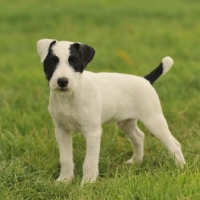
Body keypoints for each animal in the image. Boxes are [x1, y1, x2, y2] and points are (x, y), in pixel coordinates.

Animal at [36, 39, 185, 184]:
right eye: (52, 62)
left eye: (75, 62)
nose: (62, 82)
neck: (70, 96)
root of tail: (145, 80)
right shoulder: (61, 130)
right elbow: (65, 159)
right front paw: (64, 180)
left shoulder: (93, 132)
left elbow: (89, 162)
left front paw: (87, 183)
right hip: (126, 122)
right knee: (139, 137)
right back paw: (136, 162)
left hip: (154, 120)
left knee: (174, 144)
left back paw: (181, 167)